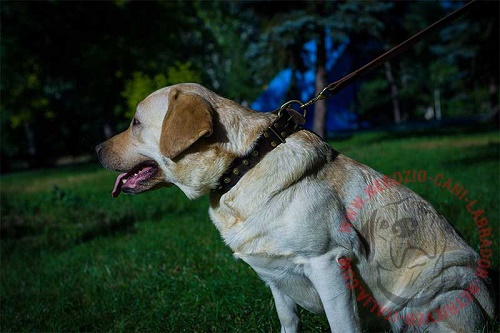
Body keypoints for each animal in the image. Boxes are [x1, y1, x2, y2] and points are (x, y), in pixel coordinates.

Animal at [95, 83, 494, 332]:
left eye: (135, 123)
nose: (96, 148)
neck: (243, 165)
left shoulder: (328, 263)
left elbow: (342, 326)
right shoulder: (275, 279)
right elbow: (288, 321)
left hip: (443, 293)